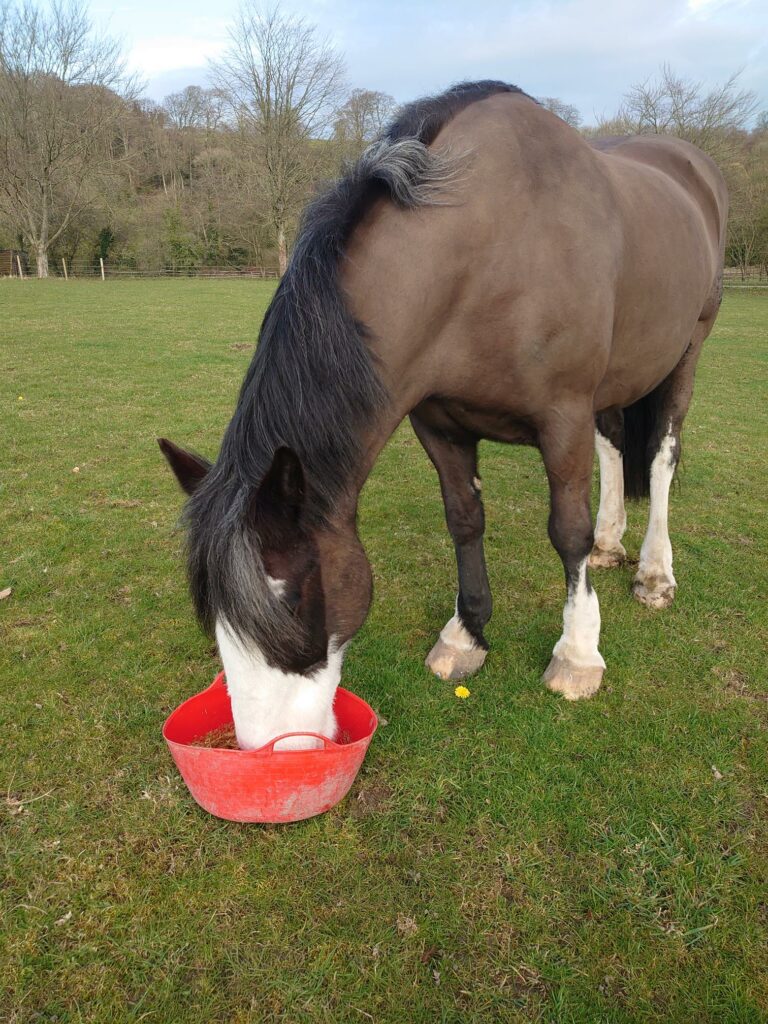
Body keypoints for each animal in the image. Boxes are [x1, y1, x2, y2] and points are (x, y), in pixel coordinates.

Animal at [160, 79, 729, 753]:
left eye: (295, 600)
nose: (270, 750)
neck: (487, 247)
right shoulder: (439, 424)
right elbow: (464, 519)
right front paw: (466, 635)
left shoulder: (562, 415)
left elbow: (566, 530)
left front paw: (577, 653)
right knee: (615, 442)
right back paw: (611, 545)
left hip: (689, 347)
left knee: (663, 454)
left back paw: (653, 572)